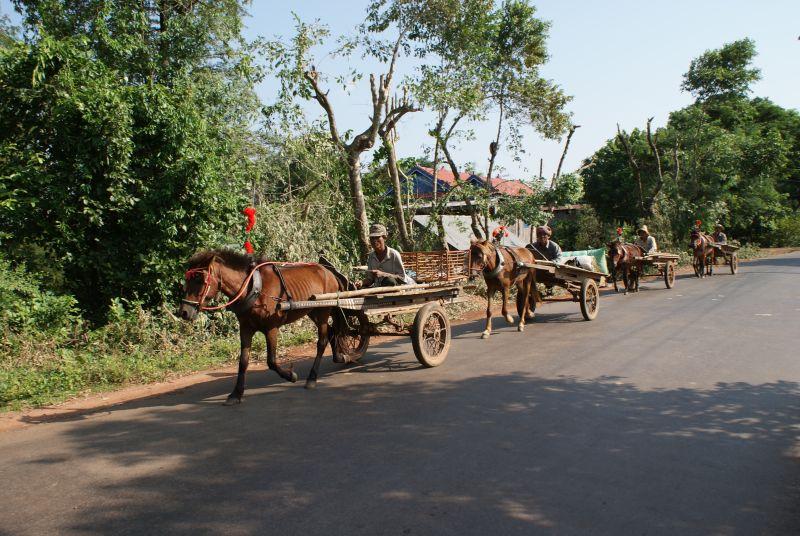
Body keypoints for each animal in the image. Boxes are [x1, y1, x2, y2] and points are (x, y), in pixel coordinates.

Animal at [178, 249, 344, 404]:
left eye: (200, 280)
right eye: (187, 279)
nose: (184, 312)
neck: (253, 289)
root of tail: (328, 272)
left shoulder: (271, 328)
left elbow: (271, 361)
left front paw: (290, 375)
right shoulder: (245, 328)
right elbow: (243, 361)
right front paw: (236, 393)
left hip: (323, 311)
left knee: (321, 342)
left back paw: (312, 378)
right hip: (312, 310)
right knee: (331, 331)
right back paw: (338, 356)